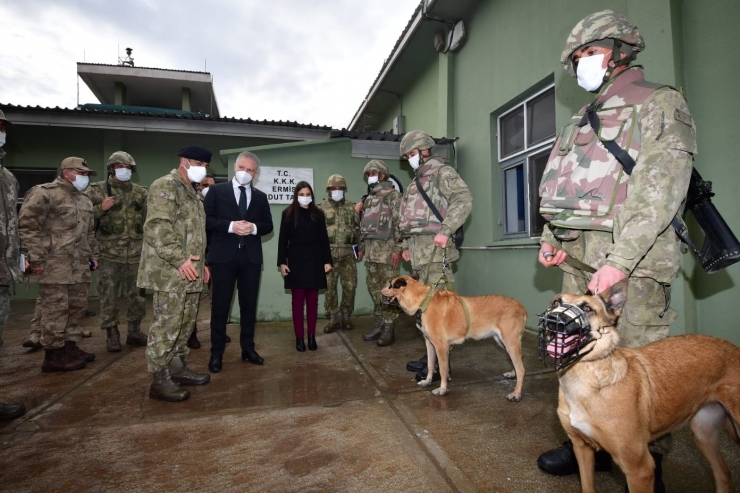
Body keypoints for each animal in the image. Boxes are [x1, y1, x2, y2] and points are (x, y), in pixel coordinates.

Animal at [382, 274, 528, 402]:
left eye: (391, 285)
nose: (381, 292)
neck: (422, 302)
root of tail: (521, 307)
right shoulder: (429, 344)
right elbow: (430, 365)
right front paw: (427, 381)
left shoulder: (441, 347)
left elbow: (442, 370)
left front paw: (442, 389)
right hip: (502, 342)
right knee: (519, 361)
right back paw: (512, 374)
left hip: (510, 343)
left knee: (521, 369)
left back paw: (516, 394)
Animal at [536, 280, 740, 492]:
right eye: (556, 302)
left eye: (587, 308)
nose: (553, 318)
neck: (586, 377)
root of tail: (733, 348)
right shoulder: (582, 449)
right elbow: (587, 485)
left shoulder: (639, 469)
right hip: (703, 434)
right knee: (723, 472)